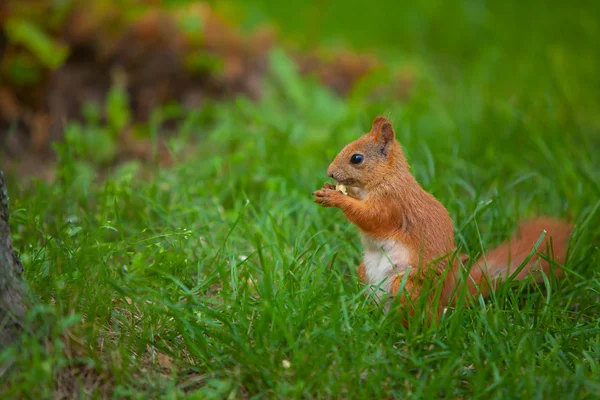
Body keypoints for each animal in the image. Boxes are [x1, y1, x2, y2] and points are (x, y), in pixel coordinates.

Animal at [314, 115, 572, 322]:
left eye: (356, 158)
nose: (330, 173)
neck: (385, 178)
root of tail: (445, 301)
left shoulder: (392, 203)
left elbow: (371, 217)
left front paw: (335, 198)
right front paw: (331, 189)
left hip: (408, 286)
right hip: (364, 272)